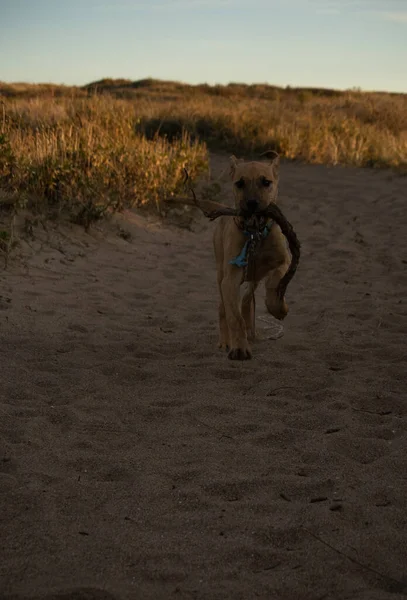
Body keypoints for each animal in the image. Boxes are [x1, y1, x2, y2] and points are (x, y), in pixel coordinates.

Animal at [214, 152, 290, 364]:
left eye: (266, 182)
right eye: (240, 183)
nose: (252, 204)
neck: (255, 232)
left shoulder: (284, 260)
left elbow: (274, 281)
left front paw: (278, 307)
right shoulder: (230, 279)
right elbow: (234, 317)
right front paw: (239, 347)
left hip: (253, 278)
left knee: (248, 298)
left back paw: (251, 329)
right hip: (221, 274)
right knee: (223, 309)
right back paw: (226, 341)